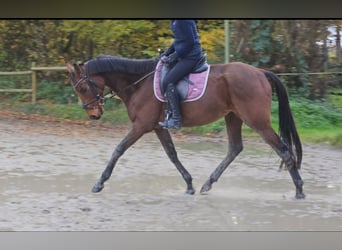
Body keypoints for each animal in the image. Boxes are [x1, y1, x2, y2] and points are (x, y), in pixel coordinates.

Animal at [66, 55, 304, 199]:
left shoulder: (142, 125)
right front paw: (189, 184)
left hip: (257, 121)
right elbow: (172, 154)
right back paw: (207, 184)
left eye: (84, 88)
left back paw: (299, 190)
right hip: (233, 117)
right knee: (235, 148)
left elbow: (118, 149)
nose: (94, 114)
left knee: (283, 150)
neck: (138, 84)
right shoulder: (158, 127)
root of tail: (260, 72)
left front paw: (99, 183)